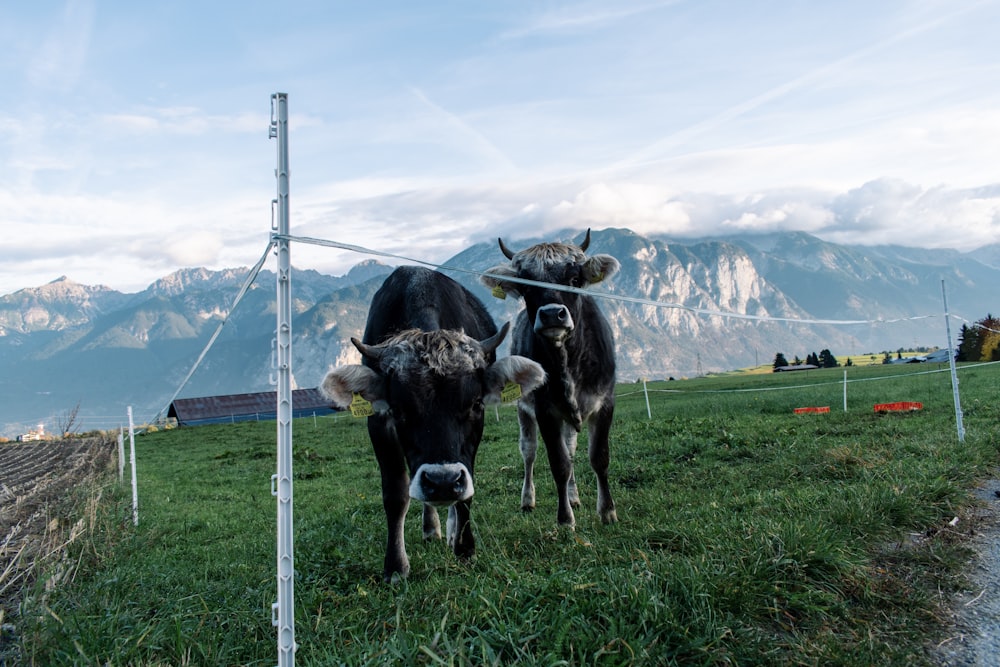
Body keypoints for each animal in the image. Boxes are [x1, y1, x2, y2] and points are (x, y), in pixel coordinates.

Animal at [320, 266, 544, 584]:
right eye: (399, 409)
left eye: (476, 403)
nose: (442, 482)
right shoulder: (378, 423)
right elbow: (396, 494)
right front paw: (395, 567)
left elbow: (466, 494)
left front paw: (465, 548)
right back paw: (431, 528)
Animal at [482, 232, 620, 528]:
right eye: (526, 287)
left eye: (575, 279)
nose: (551, 314)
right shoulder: (545, 410)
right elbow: (559, 463)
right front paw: (565, 519)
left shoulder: (605, 402)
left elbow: (598, 457)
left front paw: (607, 511)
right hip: (524, 409)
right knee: (529, 452)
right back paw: (528, 500)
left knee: (571, 448)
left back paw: (575, 496)